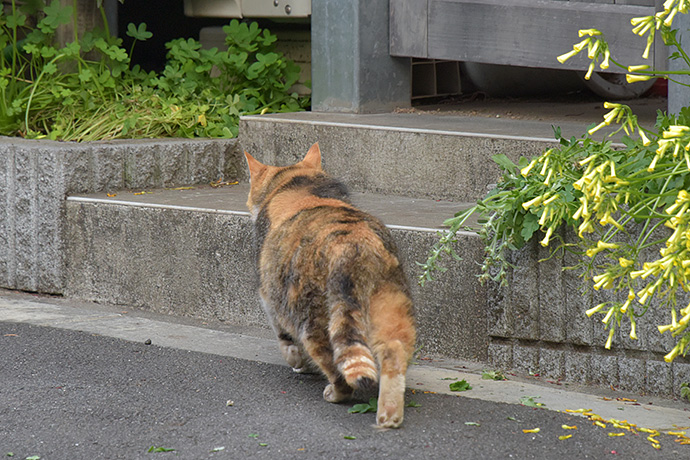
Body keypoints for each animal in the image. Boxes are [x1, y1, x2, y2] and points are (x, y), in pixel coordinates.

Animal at [242, 143, 414, 428]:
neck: (299, 186)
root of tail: (354, 246)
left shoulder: (268, 295)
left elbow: (283, 337)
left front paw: (296, 361)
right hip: (392, 307)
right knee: (393, 353)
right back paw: (389, 415)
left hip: (312, 318)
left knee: (337, 369)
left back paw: (334, 393)